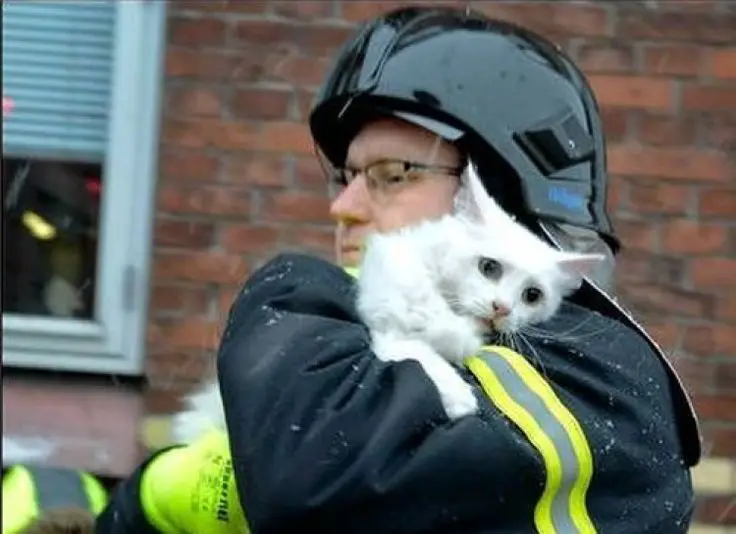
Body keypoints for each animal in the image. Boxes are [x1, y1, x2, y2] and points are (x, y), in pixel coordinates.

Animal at [356, 161, 604, 420]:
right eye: (489, 267)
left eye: (532, 295)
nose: (502, 308)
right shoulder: (389, 312)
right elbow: (418, 350)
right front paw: (457, 396)